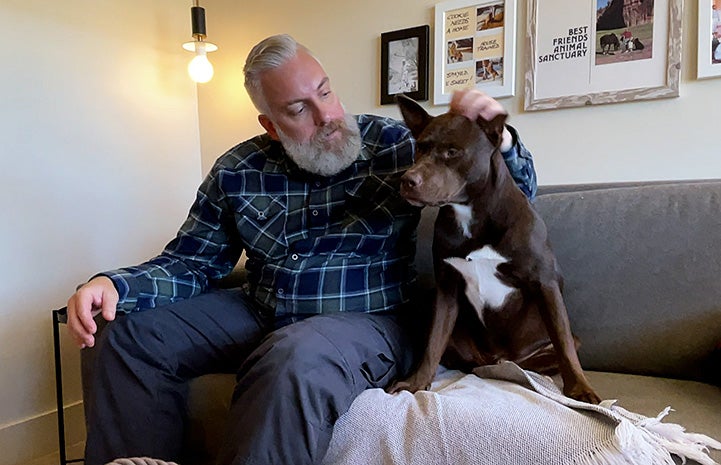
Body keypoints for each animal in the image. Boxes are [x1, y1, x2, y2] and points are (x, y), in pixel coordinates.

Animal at [386, 95, 600, 402]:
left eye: (452, 152)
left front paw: (581, 389)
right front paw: (416, 382)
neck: (471, 212)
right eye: (421, 148)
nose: (407, 180)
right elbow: (433, 342)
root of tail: (497, 356)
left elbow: (564, 344)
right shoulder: (446, 289)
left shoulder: (545, 284)